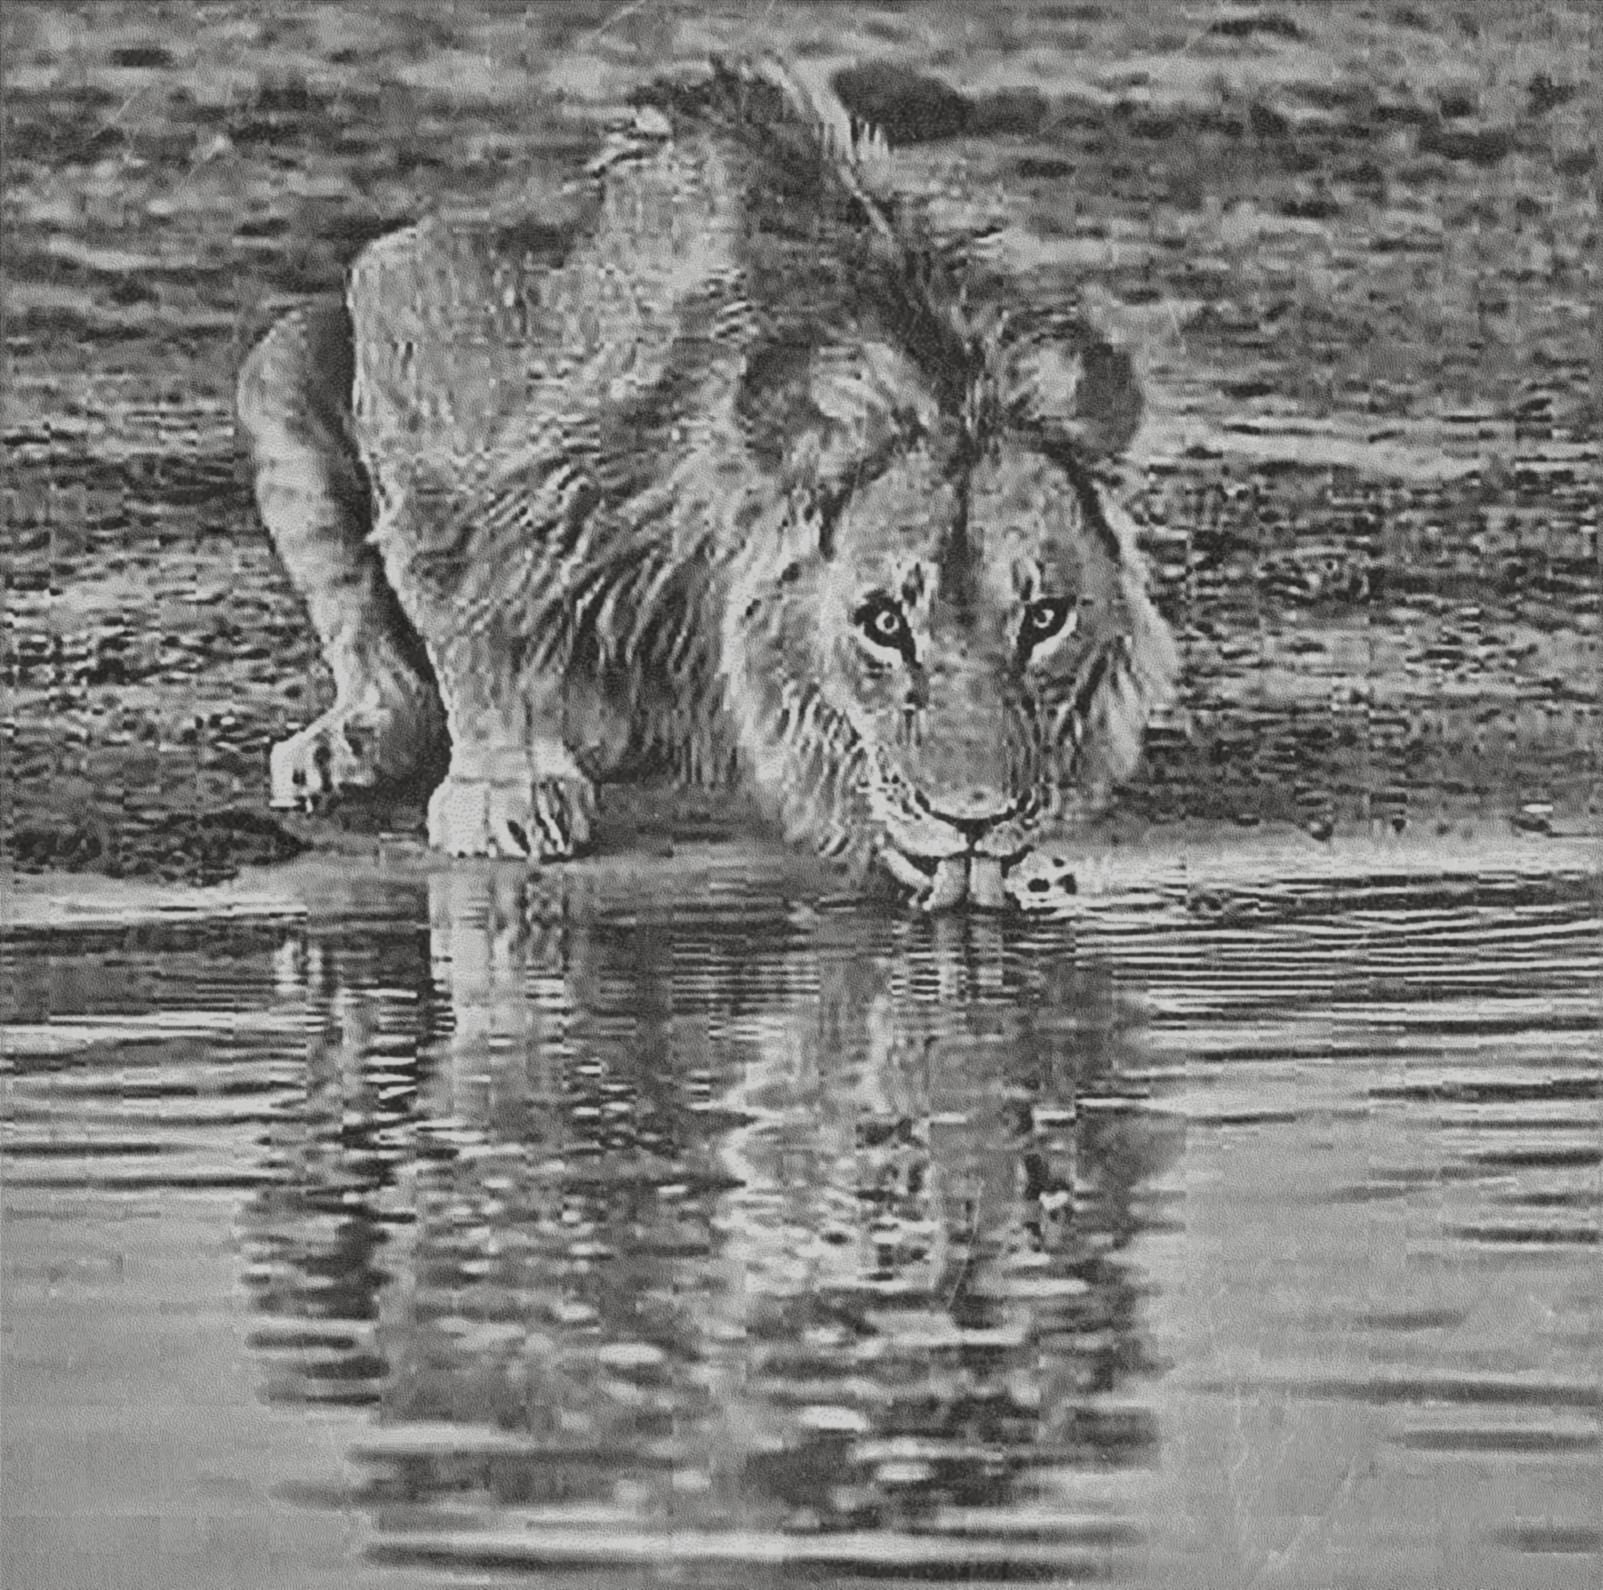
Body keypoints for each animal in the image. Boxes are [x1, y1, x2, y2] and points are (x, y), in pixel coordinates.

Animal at [236, 57, 1178, 911]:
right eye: (882, 623)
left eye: (1046, 619)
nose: (974, 819)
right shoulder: (423, 301)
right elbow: (460, 592)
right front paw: (506, 786)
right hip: (283, 354)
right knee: (387, 663)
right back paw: (342, 746)